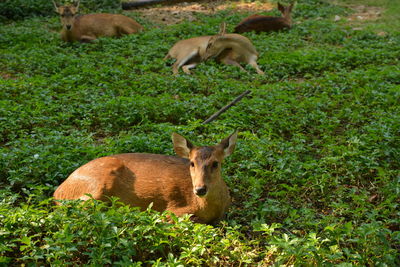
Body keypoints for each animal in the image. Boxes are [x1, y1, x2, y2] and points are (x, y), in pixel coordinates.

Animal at [52, 132, 238, 226]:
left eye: (215, 163)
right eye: (192, 163)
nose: (200, 189)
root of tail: (58, 192)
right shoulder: (174, 210)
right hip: (97, 186)